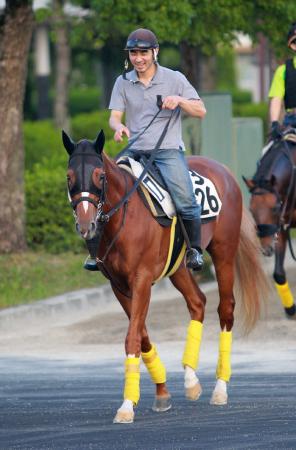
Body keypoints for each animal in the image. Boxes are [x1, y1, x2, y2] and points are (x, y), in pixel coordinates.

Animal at [61, 128, 268, 424]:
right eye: (69, 177)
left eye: (100, 175)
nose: (86, 224)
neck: (124, 217)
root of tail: (223, 169)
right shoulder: (118, 285)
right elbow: (142, 335)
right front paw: (161, 392)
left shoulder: (142, 280)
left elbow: (132, 336)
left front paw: (127, 404)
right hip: (178, 267)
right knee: (198, 303)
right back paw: (191, 379)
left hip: (224, 253)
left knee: (225, 310)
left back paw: (220, 387)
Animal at [243, 134, 296, 316]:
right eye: (251, 209)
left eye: (276, 207)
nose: (266, 248)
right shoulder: (280, 228)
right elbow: (278, 274)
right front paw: (290, 308)